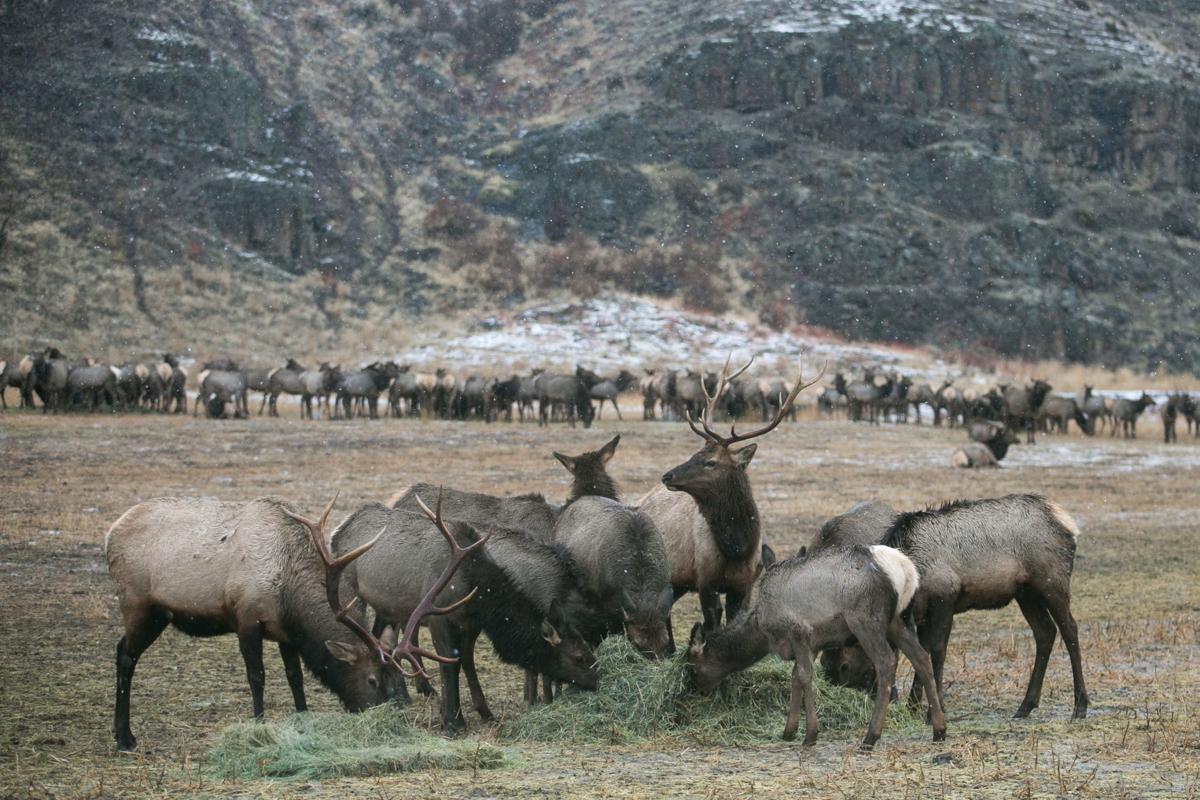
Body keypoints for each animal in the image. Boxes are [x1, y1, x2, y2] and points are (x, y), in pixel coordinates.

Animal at [638, 355, 824, 631]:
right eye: (694, 454)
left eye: (711, 462)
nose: (667, 476)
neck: (738, 548)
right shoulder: (705, 580)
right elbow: (711, 625)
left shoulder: (744, 584)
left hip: (677, 580)